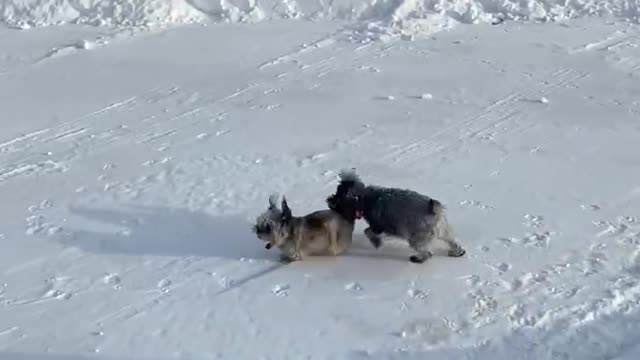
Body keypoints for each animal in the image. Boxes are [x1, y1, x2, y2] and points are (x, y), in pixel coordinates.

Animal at [328, 169, 468, 264]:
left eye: (338, 196)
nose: (329, 201)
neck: (362, 197)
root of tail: (434, 211)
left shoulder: (378, 226)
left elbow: (367, 231)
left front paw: (377, 243)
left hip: (416, 238)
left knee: (427, 252)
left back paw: (417, 259)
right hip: (444, 231)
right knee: (453, 241)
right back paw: (457, 252)